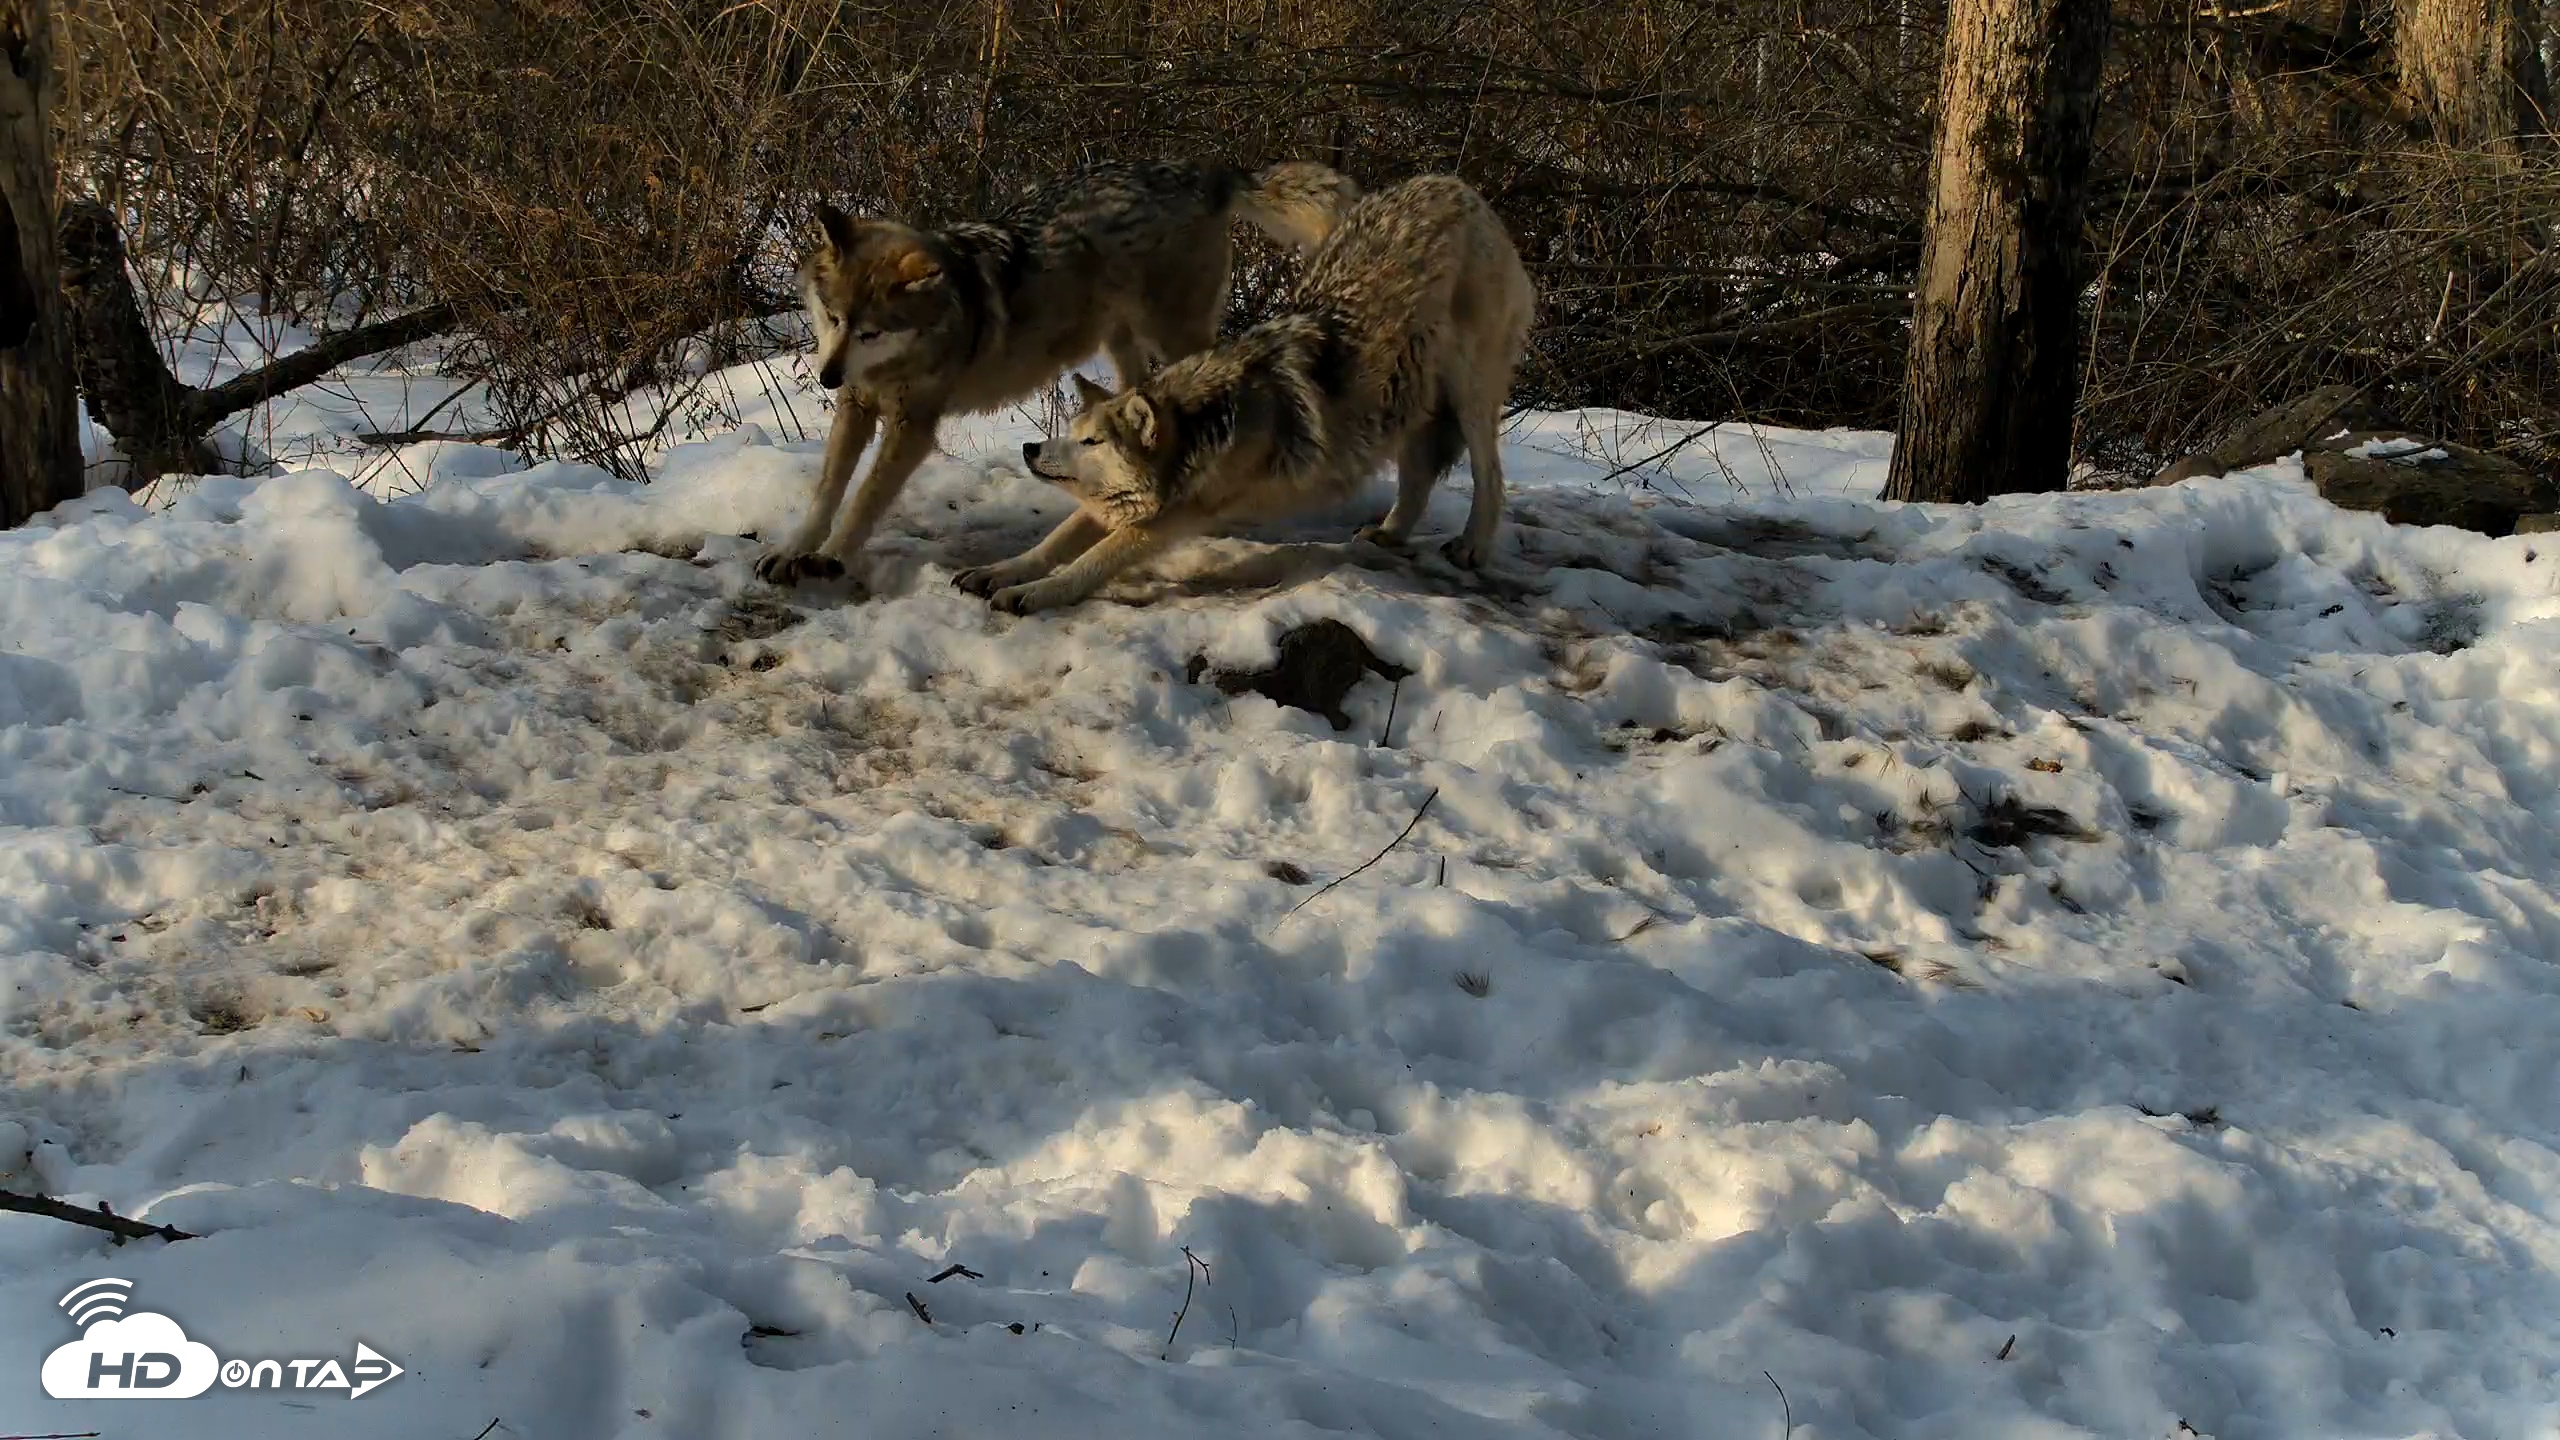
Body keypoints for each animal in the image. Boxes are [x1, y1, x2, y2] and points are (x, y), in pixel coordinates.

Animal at [756, 159, 1358, 586]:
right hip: (1122, 346)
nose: (828, 378)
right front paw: (794, 551)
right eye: (834, 319)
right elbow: (827, 491)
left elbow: (863, 500)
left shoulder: (912, 426)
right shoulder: (856, 406)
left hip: (1175, 337)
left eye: (871, 332)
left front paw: (830, 558)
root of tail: (1202, 170)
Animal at [959, 174, 1535, 614]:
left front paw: (1035, 593)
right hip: (1408, 405)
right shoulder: (1133, 508)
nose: (1030, 448)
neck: (1212, 424)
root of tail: (1453, 186)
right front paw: (1000, 571)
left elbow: (1090, 561)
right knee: (1417, 477)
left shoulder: (1169, 518)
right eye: (1071, 433)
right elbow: (1053, 540)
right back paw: (1389, 534)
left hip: (1469, 394)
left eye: (1093, 443)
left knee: (1489, 474)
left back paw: (1471, 546)